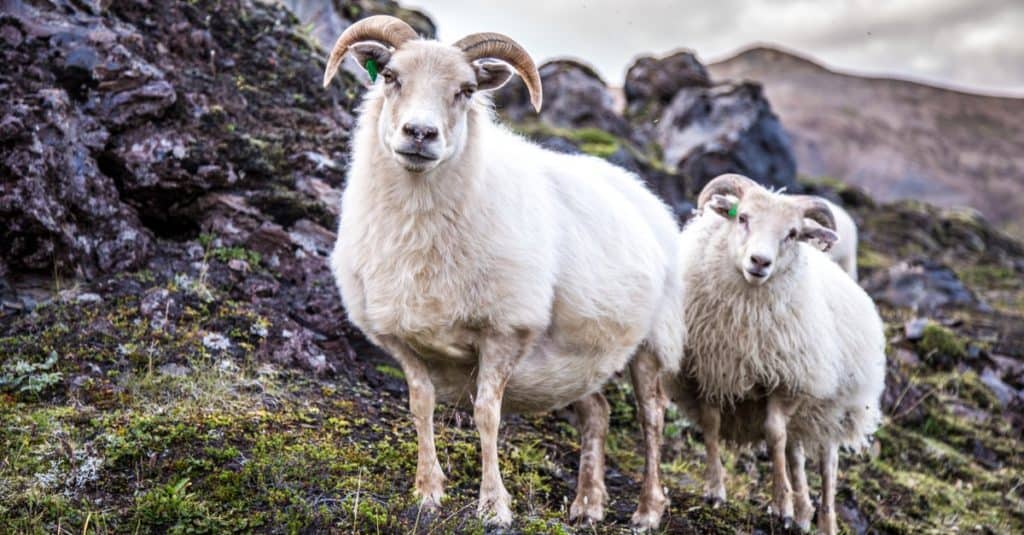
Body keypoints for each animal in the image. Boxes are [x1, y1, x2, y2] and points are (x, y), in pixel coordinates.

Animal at [323, 14, 684, 524]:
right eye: (390, 76)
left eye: (466, 89)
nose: (419, 133)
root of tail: (640, 189)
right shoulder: (401, 337)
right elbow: (420, 405)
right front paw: (427, 493)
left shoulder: (504, 331)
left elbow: (486, 415)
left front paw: (494, 506)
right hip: (579, 355)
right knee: (597, 413)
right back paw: (587, 504)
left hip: (653, 342)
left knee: (652, 419)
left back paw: (648, 510)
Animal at [667, 173, 884, 528]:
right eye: (742, 217)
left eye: (793, 234)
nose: (760, 262)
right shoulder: (710, 371)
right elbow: (711, 424)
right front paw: (715, 490)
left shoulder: (789, 381)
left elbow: (774, 435)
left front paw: (781, 504)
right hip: (806, 416)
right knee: (796, 456)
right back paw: (803, 513)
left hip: (834, 410)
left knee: (827, 463)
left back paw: (824, 521)